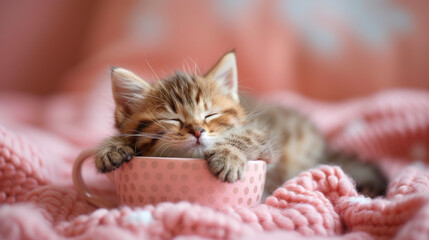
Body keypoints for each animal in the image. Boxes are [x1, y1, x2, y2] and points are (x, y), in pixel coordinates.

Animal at [95, 51, 386, 196]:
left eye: (210, 115)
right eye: (172, 118)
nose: (198, 131)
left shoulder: (264, 134)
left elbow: (246, 137)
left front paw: (227, 156)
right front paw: (111, 147)